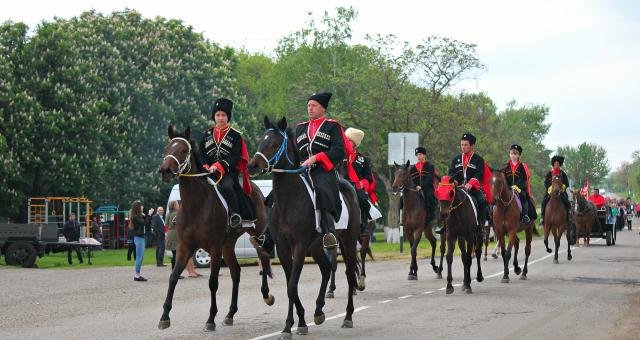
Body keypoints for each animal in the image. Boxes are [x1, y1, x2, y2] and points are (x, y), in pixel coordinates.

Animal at [158, 126, 276, 330]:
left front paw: (211, 318)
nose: (165, 170)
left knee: (264, 257)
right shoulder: (185, 247)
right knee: (236, 272)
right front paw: (165, 316)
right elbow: (173, 277)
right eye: (167, 148)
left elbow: (213, 282)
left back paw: (266, 294)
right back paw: (230, 313)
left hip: (256, 233)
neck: (196, 205)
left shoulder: (214, 248)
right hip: (228, 245)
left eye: (183, 150)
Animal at [248, 115, 362, 338]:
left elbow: (292, 285)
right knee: (326, 270)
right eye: (261, 141)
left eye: (274, 144)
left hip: (348, 241)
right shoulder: (283, 247)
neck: (289, 200)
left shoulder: (299, 246)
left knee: (349, 274)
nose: (252, 166)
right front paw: (300, 322)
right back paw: (318, 310)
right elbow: (290, 285)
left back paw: (348, 316)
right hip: (317, 247)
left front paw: (288, 326)